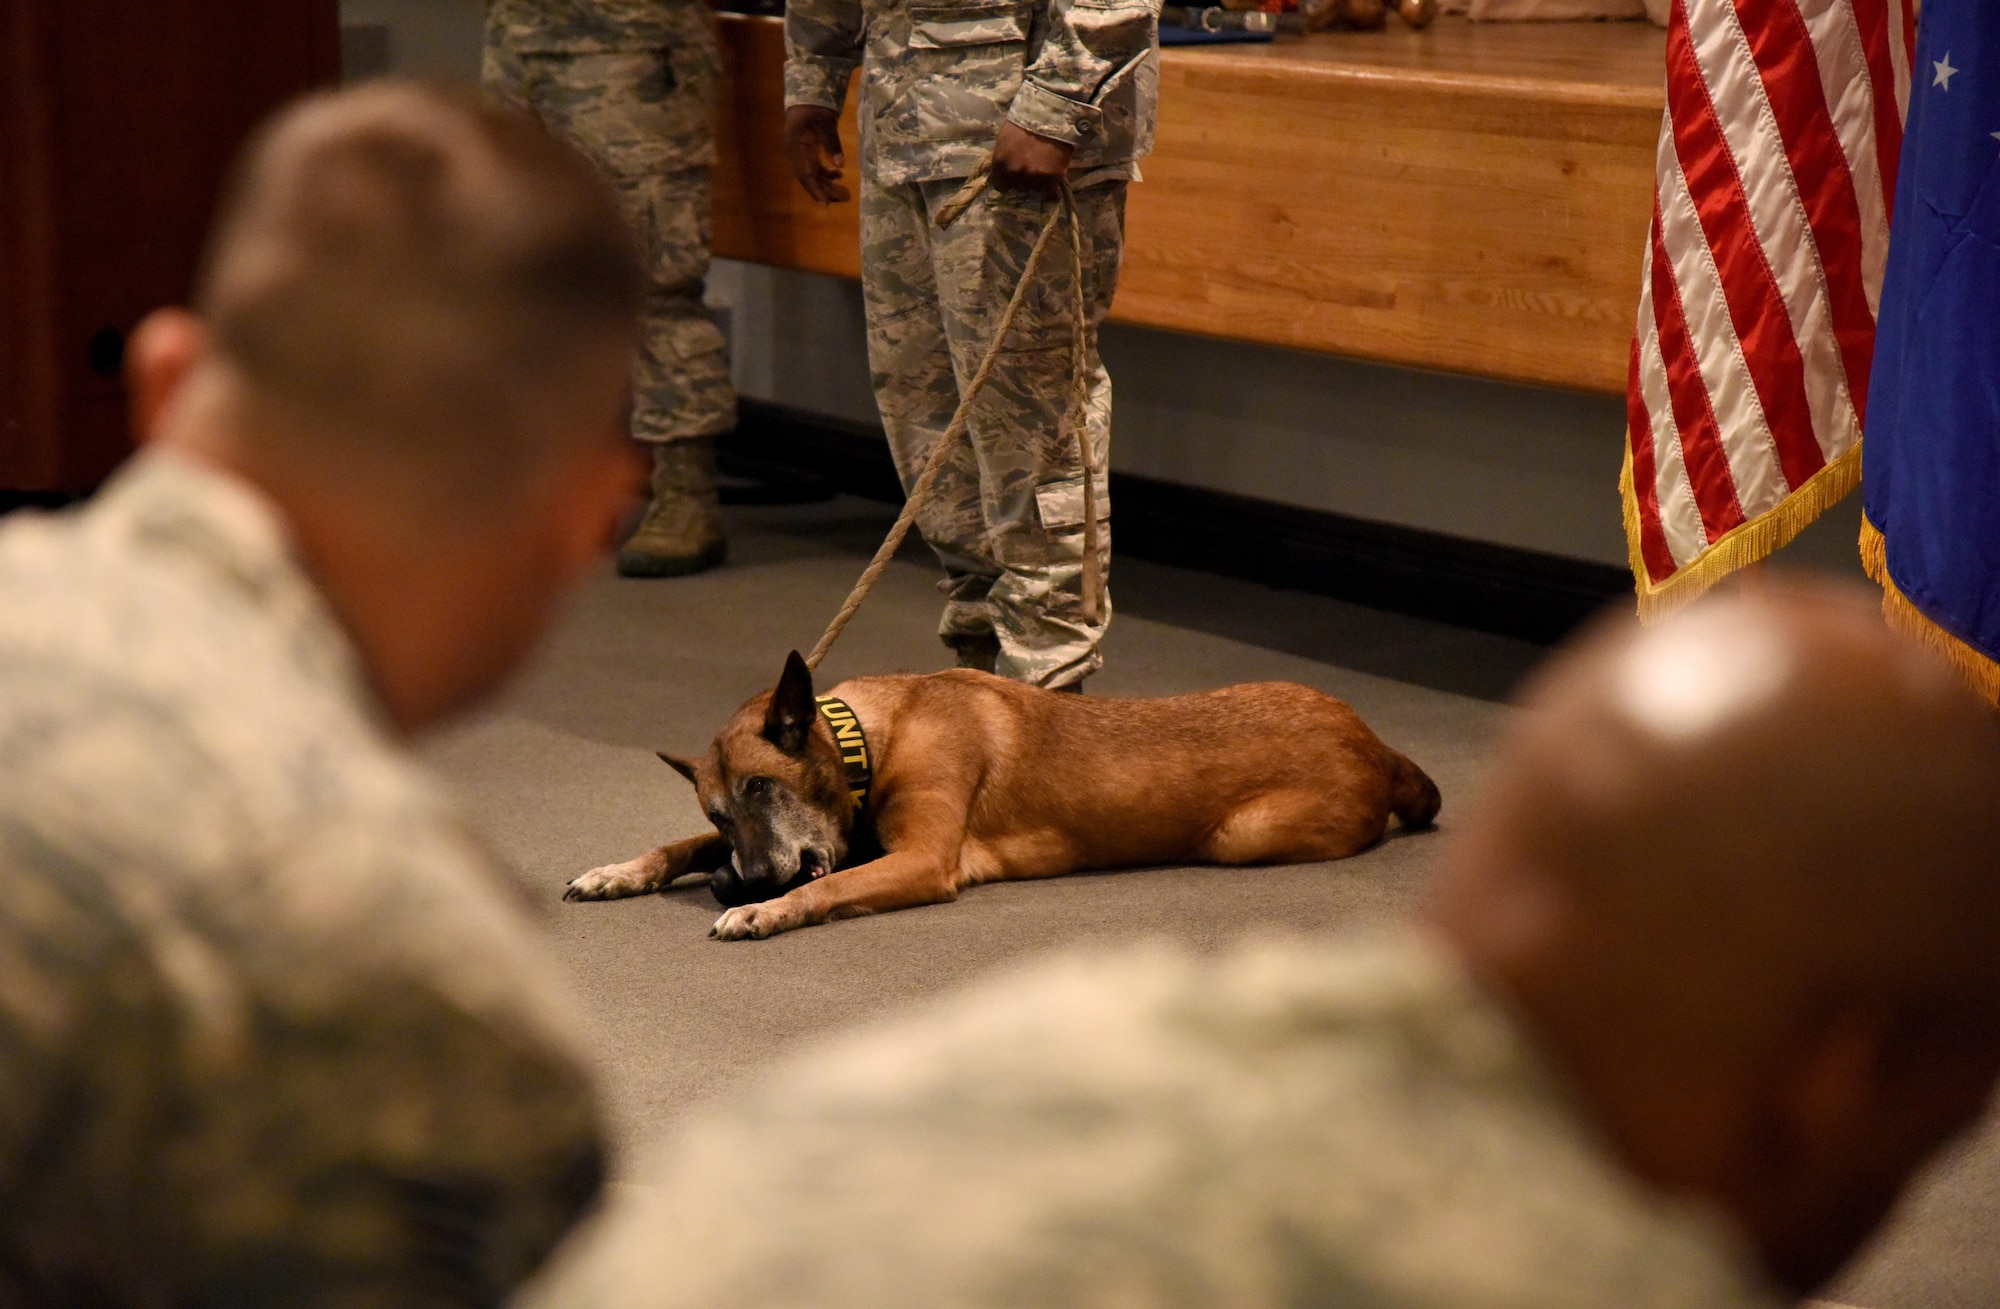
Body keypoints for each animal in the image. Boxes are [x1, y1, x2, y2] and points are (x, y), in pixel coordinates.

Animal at [564, 656, 1440, 944]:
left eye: (761, 786)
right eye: (719, 809)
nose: (734, 882)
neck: (876, 735)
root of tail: (1376, 740)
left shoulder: (920, 860)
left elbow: (824, 886)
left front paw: (760, 911)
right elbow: (679, 844)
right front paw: (622, 870)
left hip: (1242, 835)